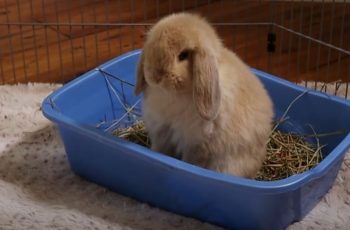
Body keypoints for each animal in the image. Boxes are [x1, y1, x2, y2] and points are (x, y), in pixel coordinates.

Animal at [134, 12, 274, 178]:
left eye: (183, 55)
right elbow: (160, 149)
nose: (156, 76)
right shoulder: (162, 132)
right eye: (152, 45)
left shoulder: (197, 145)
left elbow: (191, 160)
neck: (173, 94)